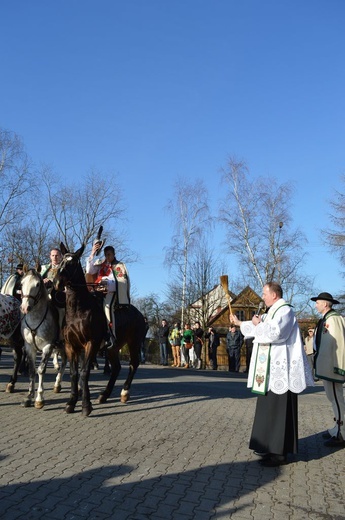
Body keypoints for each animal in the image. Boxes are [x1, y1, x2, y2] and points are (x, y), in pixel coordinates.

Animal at [20, 270, 67, 408]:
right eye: (22, 283)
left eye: (37, 284)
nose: (25, 307)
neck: (35, 319)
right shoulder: (29, 348)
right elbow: (32, 370)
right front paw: (29, 396)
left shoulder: (47, 347)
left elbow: (41, 370)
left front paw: (39, 398)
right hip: (62, 346)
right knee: (64, 361)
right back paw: (57, 385)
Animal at [53, 244, 146, 418]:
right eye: (61, 261)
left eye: (73, 263)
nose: (57, 282)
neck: (78, 310)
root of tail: (140, 315)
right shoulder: (71, 346)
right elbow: (74, 373)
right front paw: (71, 403)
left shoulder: (91, 344)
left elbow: (84, 372)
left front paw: (85, 405)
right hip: (113, 348)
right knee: (116, 368)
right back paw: (104, 395)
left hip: (134, 343)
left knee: (133, 364)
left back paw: (124, 392)